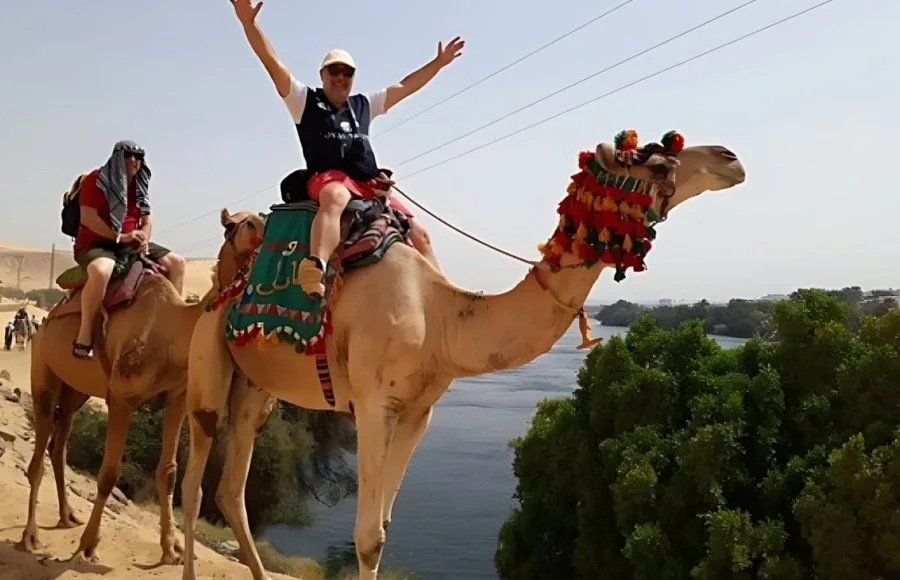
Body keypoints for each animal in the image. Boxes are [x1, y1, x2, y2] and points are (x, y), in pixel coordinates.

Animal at [18, 210, 264, 566]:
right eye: (234, 224)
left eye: (260, 217)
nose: (262, 228)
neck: (172, 336)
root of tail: (46, 320)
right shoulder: (122, 397)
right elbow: (108, 473)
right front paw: (88, 546)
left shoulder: (177, 397)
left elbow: (169, 472)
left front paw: (171, 549)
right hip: (44, 374)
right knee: (39, 454)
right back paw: (30, 536)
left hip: (75, 391)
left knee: (59, 443)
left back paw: (67, 516)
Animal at [179, 130, 747, 580]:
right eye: (657, 162)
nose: (731, 158)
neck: (443, 320)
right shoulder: (372, 406)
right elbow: (366, 538)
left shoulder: (418, 411)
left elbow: (382, 529)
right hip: (208, 362)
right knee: (194, 478)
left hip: (256, 388)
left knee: (231, 487)